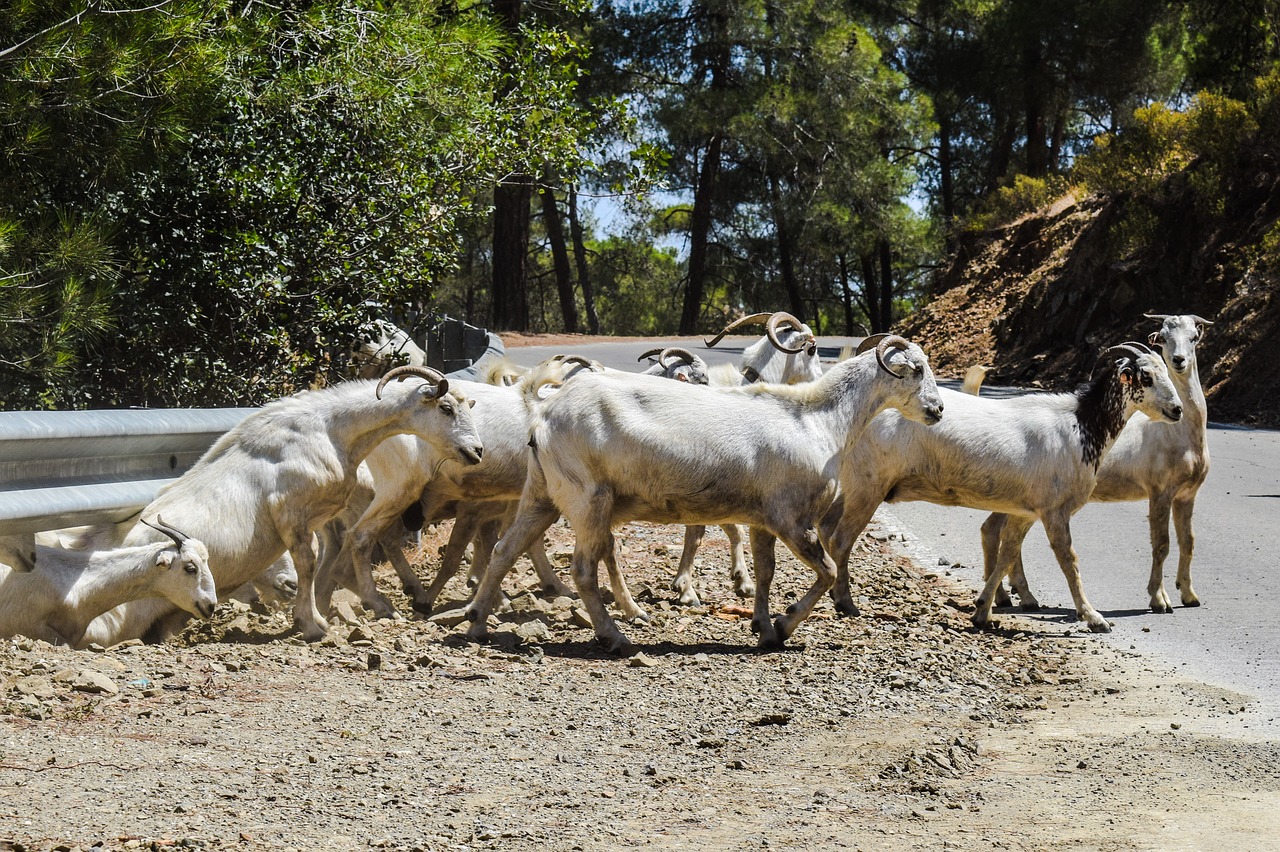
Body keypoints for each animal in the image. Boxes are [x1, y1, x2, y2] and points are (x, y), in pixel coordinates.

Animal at [80, 365, 481, 644]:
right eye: (446, 407)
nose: (476, 451)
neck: (332, 430)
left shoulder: (321, 517)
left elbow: (325, 559)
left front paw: (322, 614)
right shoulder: (290, 513)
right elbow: (309, 563)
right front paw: (313, 624)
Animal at [463, 332, 942, 649]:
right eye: (916, 370)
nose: (937, 410)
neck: (819, 419)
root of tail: (542, 413)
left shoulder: (764, 519)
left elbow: (766, 572)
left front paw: (762, 626)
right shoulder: (792, 518)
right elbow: (824, 571)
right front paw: (785, 626)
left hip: (543, 492)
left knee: (506, 548)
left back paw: (477, 622)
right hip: (587, 498)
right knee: (582, 568)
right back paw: (615, 636)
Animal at [819, 340, 1177, 629]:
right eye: (1146, 377)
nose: (1176, 410)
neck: (1080, 426)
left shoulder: (1026, 510)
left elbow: (1007, 554)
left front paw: (982, 611)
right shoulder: (1054, 510)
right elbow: (1069, 561)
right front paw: (1093, 617)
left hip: (854, 485)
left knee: (826, 527)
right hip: (869, 485)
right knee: (841, 539)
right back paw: (846, 603)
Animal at [983, 312, 1213, 611]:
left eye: (1194, 337)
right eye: (1163, 337)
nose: (1179, 361)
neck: (1177, 435)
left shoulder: (1187, 494)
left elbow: (1188, 542)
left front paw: (1189, 594)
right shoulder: (1160, 491)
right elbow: (1161, 544)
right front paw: (1159, 600)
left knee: (995, 531)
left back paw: (1012, 596)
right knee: (995, 531)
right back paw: (1014, 596)